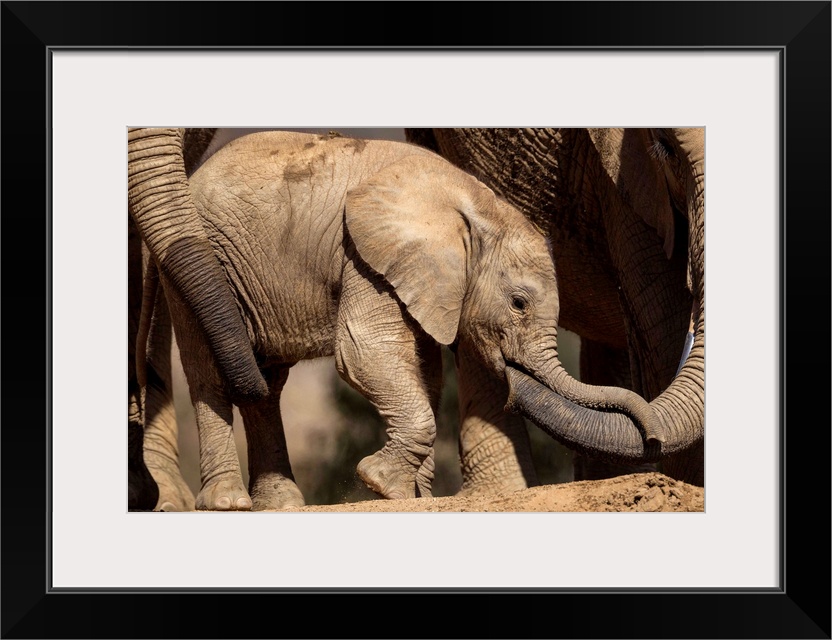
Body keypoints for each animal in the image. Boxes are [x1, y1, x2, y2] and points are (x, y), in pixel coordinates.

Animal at [168, 130, 560, 510]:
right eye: (519, 303)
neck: (478, 204)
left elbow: (426, 373)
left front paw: (413, 496)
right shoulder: (365, 257)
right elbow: (364, 353)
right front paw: (380, 484)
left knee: (266, 385)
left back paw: (279, 503)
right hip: (205, 265)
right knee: (211, 376)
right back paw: (227, 502)